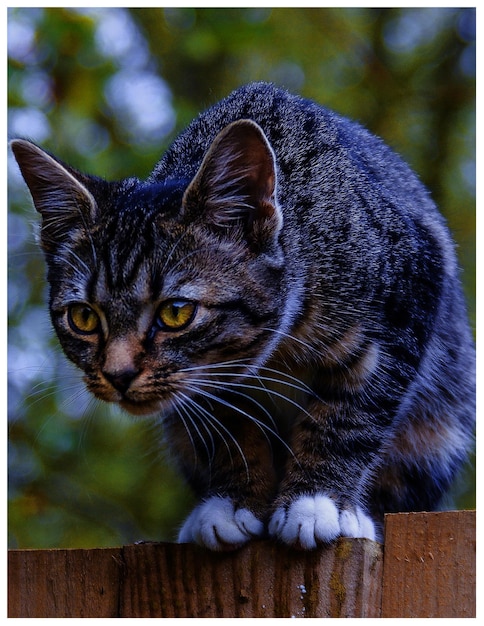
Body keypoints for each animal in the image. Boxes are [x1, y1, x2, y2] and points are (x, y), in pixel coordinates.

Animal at [12, 81, 476, 544]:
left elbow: (352, 412)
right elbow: (226, 430)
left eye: (176, 312)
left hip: (439, 430)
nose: (118, 375)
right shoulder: (205, 382)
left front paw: (316, 502)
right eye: (83, 317)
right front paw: (233, 502)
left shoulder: (410, 288)